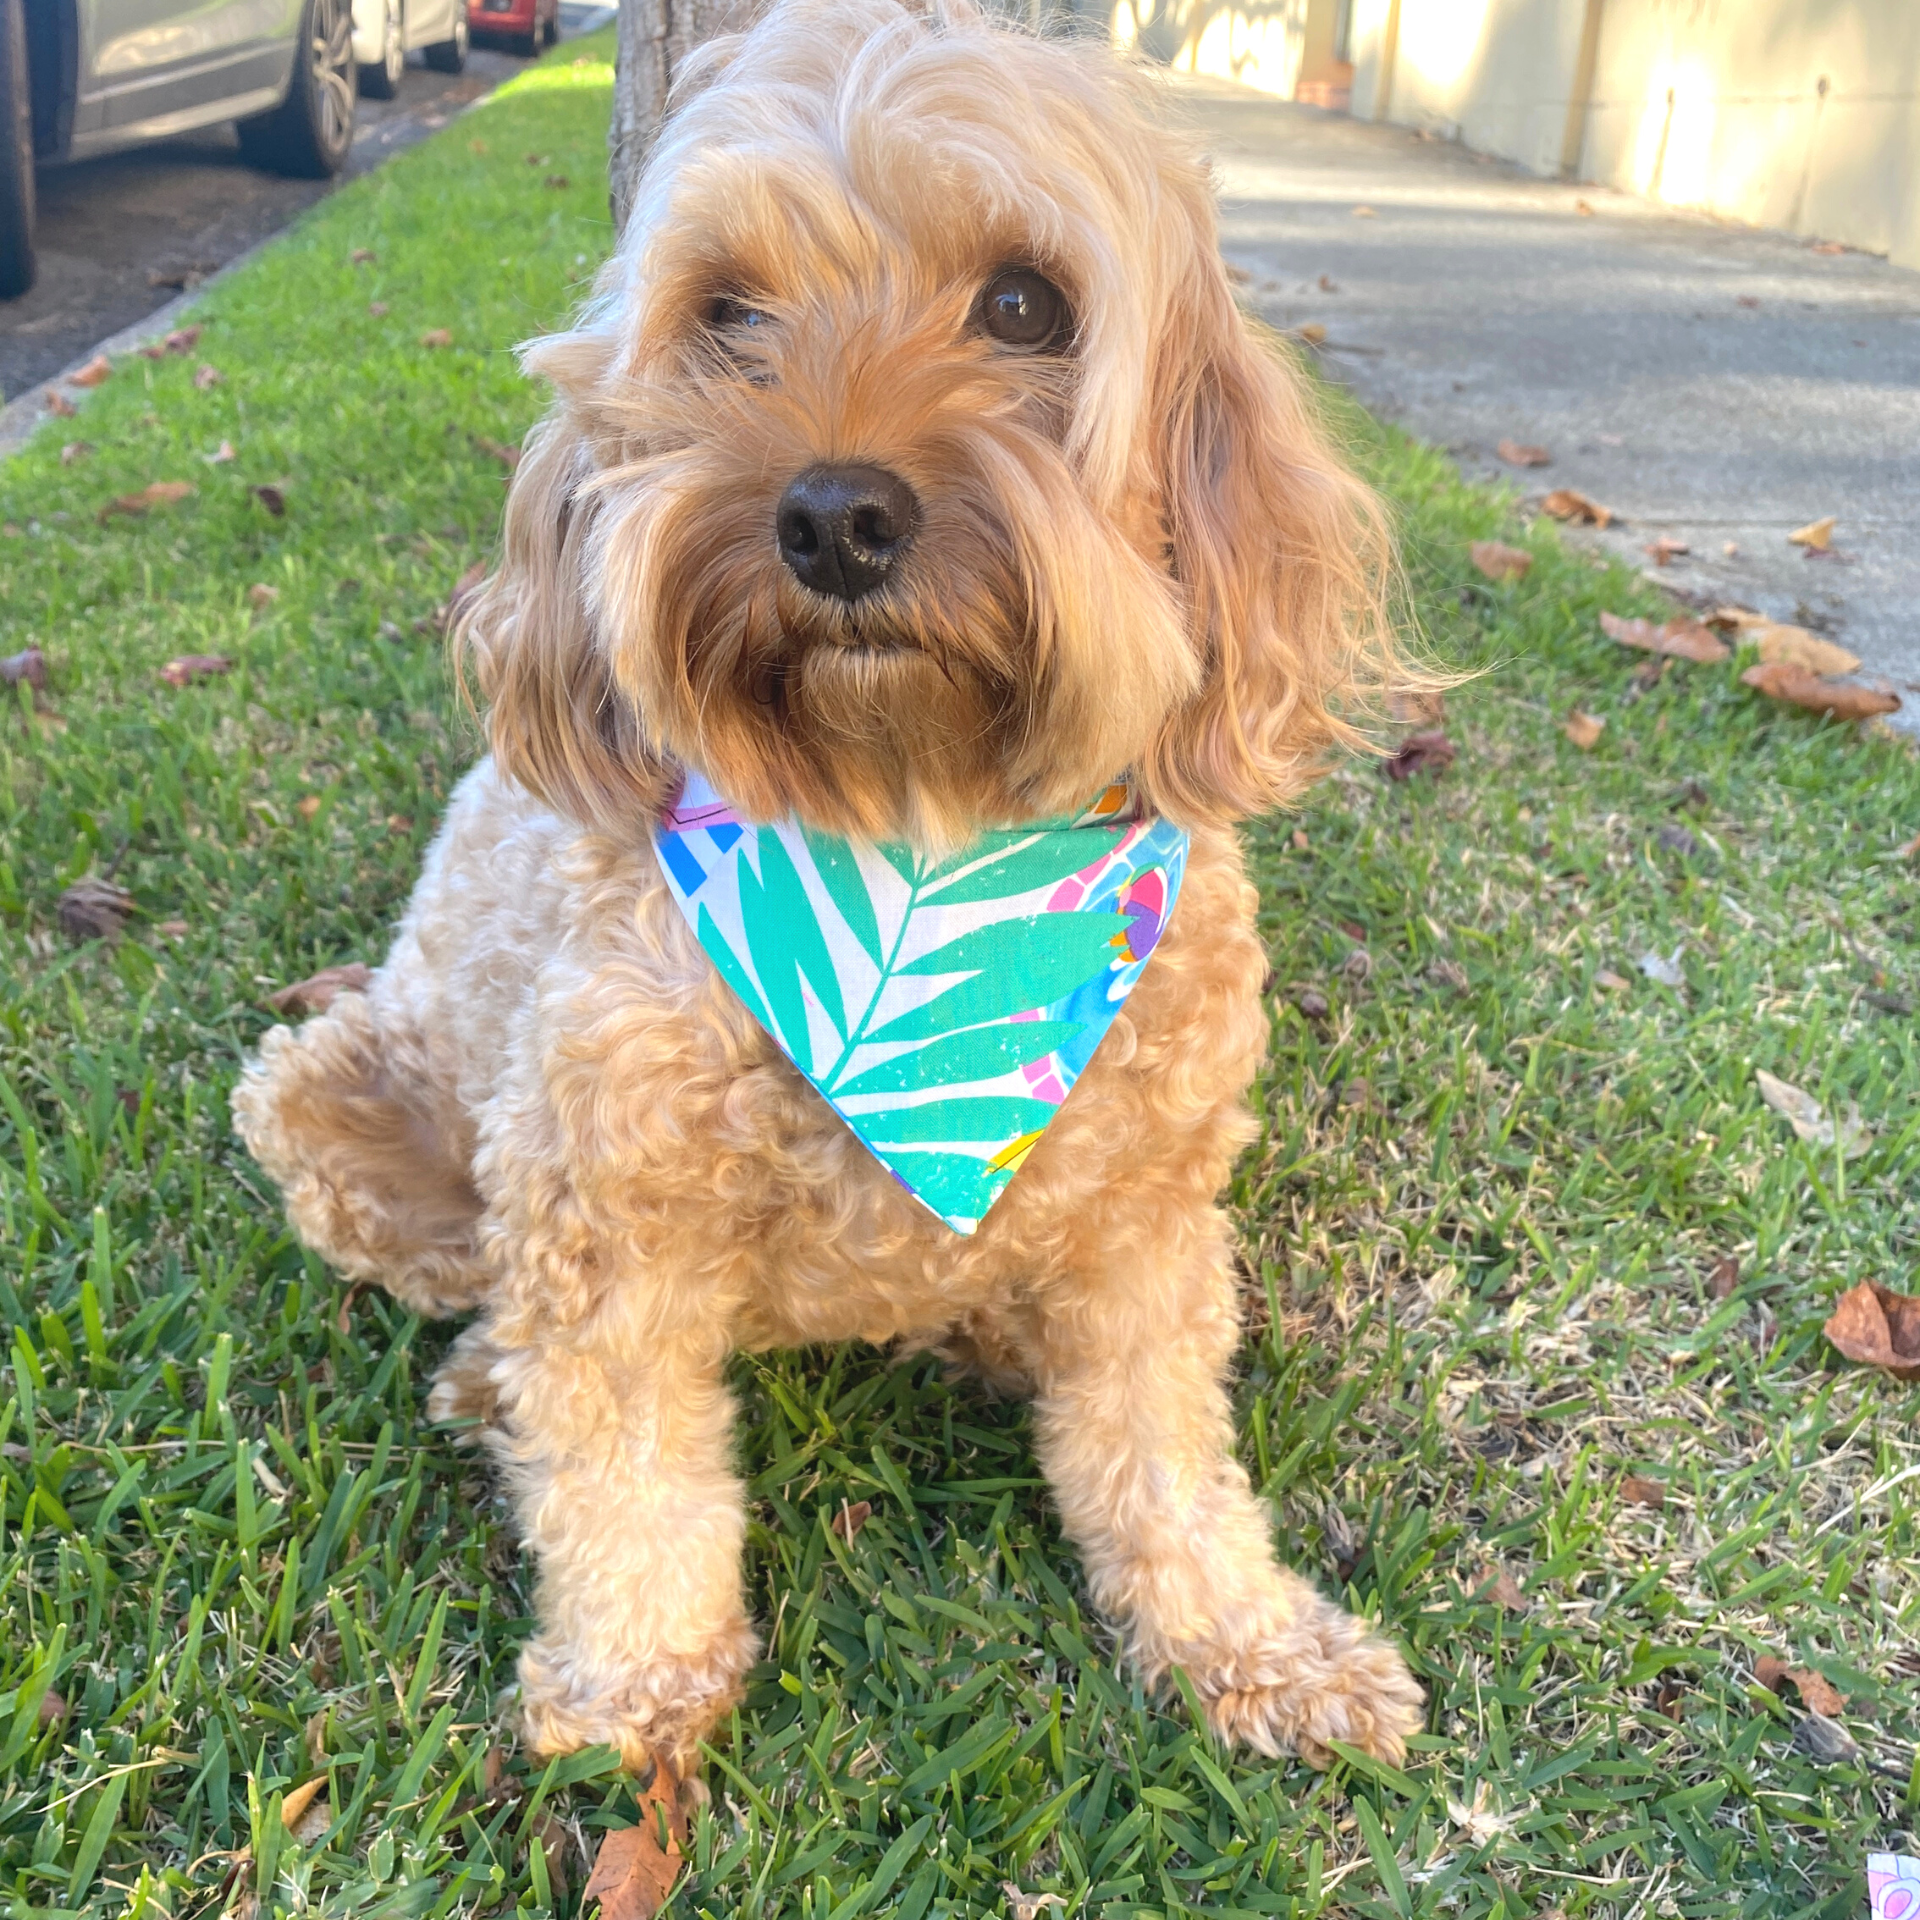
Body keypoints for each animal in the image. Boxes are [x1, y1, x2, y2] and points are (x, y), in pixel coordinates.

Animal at [228, 0, 1428, 1774]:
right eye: (729, 313)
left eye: (1025, 303)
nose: (836, 517)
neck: (915, 833)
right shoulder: (605, 1203)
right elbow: (624, 1465)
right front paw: (638, 1679)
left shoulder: (1148, 1212)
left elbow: (1160, 1450)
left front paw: (1250, 1641)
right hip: (329, 1093)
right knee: (475, 1292)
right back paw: (485, 1384)